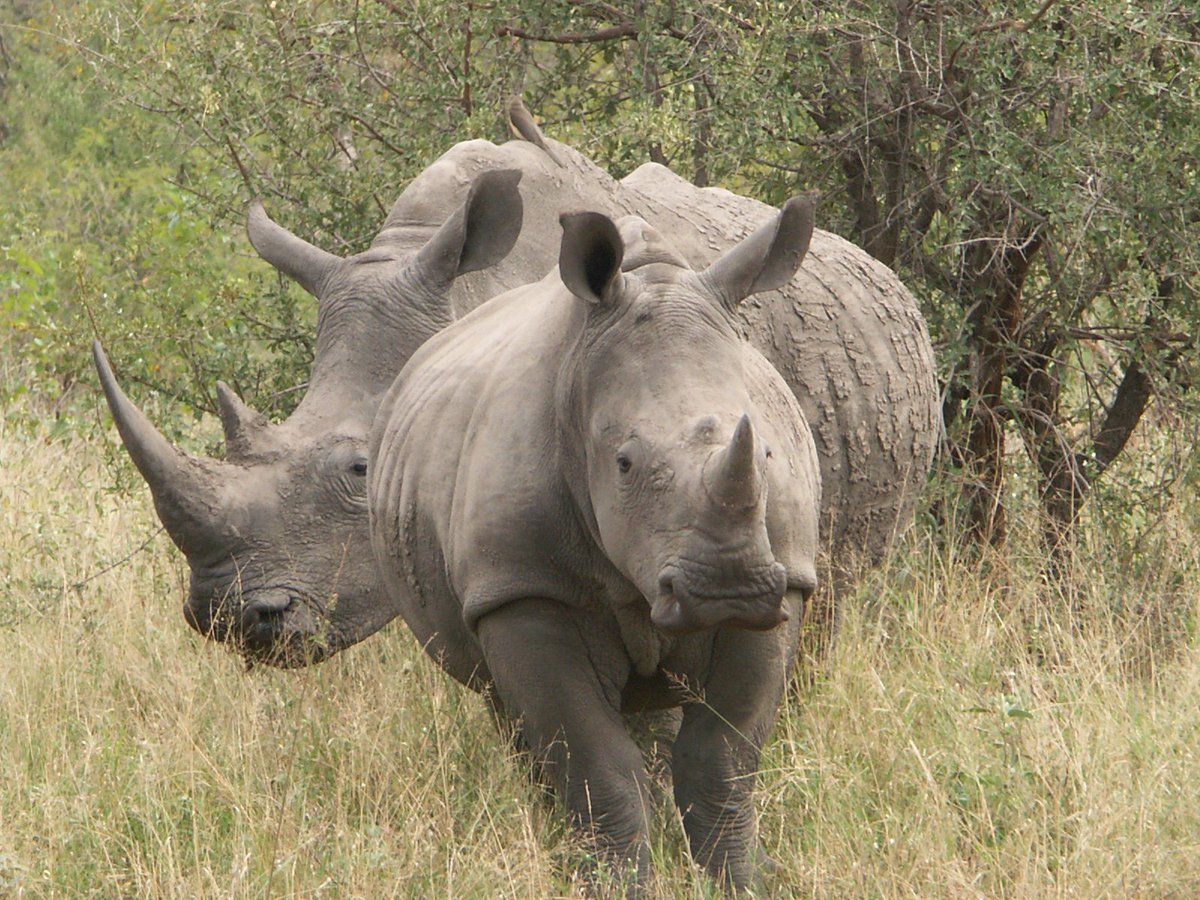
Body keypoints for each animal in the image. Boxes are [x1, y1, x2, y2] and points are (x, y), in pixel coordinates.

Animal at [368, 198, 821, 890]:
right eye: (624, 464)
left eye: (766, 452)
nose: (729, 588)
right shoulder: (524, 588)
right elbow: (597, 767)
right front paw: (614, 884)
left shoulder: (785, 582)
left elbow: (723, 761)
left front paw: (746, 883)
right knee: (516, 721)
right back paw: (557, 846)